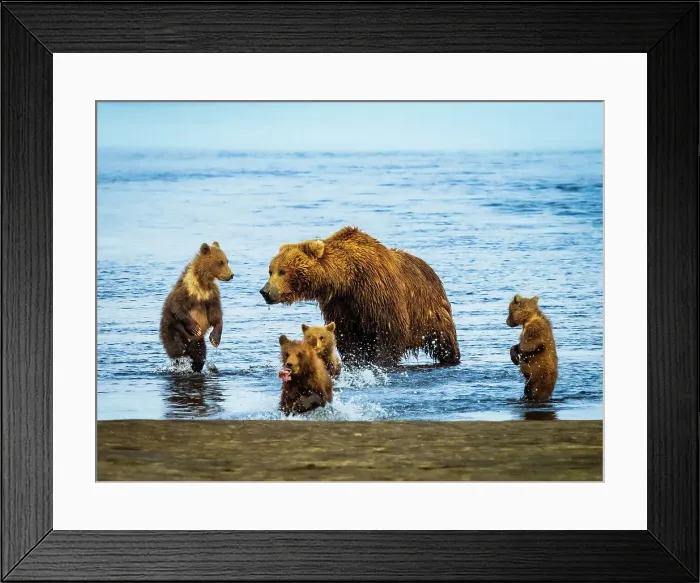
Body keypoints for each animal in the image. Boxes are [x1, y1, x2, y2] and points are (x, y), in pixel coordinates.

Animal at [159, 242, 234, 372]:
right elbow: (177, 307)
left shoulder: (211, 296)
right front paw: (195, 328)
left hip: (198, 342)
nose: (231, 275)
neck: (203, 284)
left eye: (227, 261)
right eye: (220, 262)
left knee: (199, 355)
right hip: (171, 329)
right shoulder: (188, 291)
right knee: (177, 348)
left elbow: (216, 315)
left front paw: (215, 339)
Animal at [260, 226, 460, 367]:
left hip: (430, 311)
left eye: (282, 271)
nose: (265, 292)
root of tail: (429, 269)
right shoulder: (341, 305)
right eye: (270, 270)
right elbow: (347, 338)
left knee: (445, 342)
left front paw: (381, 361)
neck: (348, 279)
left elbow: (390, 332)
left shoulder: (378, 294)